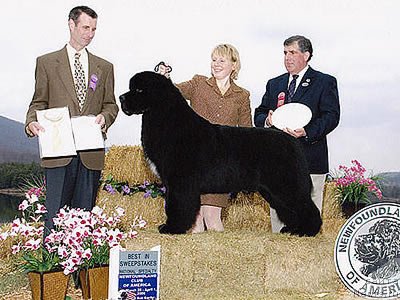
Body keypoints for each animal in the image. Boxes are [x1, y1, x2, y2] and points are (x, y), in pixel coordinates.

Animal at [119, 71, 322, 236]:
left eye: (139, 90)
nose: (121, 98)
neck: (167, 120)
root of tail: (292, 141)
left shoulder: (180, 181)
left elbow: (176, 205)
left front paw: (172, 228)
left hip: (285, 185)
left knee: (305, 207)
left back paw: (307, 231)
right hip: (273, 190)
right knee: (289, 210)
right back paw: (292, 229)